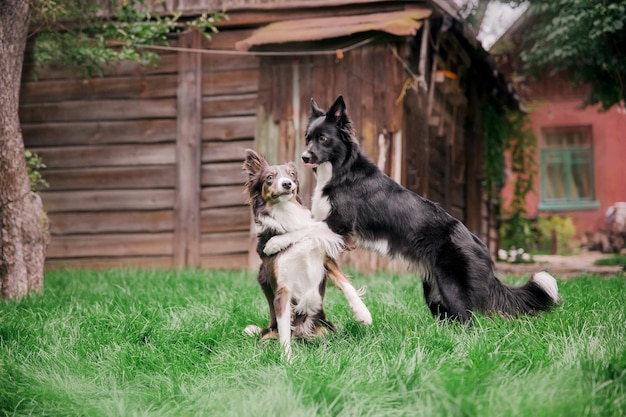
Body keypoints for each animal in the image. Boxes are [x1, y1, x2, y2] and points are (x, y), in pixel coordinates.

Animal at [243, 149, 370, 358]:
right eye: (269, 177)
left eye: (292, 174)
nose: (287, 184)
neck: (286, 212)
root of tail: (302, 335)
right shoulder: (283, 289)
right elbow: (285, 332)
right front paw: (287, 359)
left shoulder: (325, 258)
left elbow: (345, 283)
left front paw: (362, 313)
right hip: (269, 335)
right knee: (273, 337)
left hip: (326, 330)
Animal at [266, 96, 560, 322]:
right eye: (308, 138)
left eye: (324, 138)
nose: (304, 157)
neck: (341, 171)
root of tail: (483, 250)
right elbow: (306, 232)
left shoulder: (339, 223)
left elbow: (304, 231)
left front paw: (274, 243)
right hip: (434, 291)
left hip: (453, 288)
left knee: (470, 322)